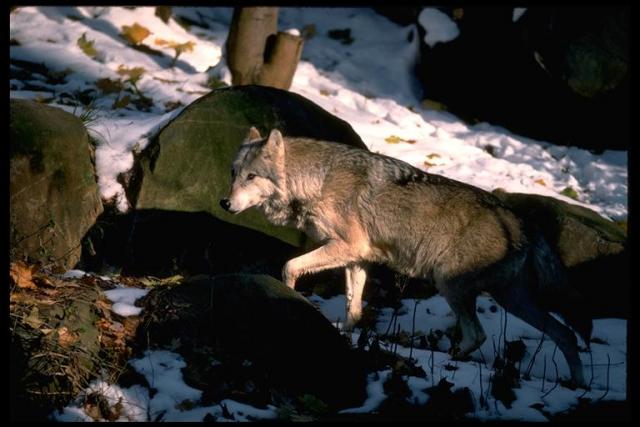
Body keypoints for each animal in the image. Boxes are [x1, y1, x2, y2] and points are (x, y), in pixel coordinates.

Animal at [220, 127, 592, 388]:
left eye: (252, 177)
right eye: (233, 173)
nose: (224, 203)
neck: (316, 180)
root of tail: (519, 220)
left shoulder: (345, 248)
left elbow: (288, 266)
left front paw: (291, 295)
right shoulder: (357, 258)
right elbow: (354, 308)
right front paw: (345, 336)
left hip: (451, 285)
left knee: (478, 335)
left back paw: (445, 359)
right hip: (512, 300)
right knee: (565, 334)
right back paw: (577, 383)